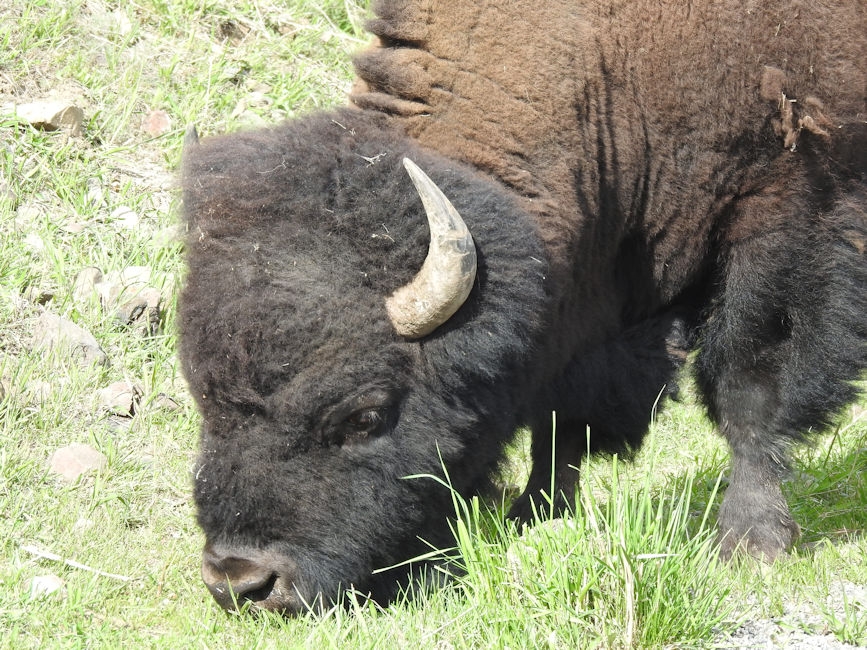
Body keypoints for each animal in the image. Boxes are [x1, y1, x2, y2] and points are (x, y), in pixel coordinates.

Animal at [179, 0, 867, 614]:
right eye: (204, 398)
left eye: (366, 416)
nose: (242, 582)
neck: (611, 65)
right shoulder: (590, 295)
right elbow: (559, 418)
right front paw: (535, 519)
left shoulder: (783, 214)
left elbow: (750, 390)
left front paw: (751, 544)